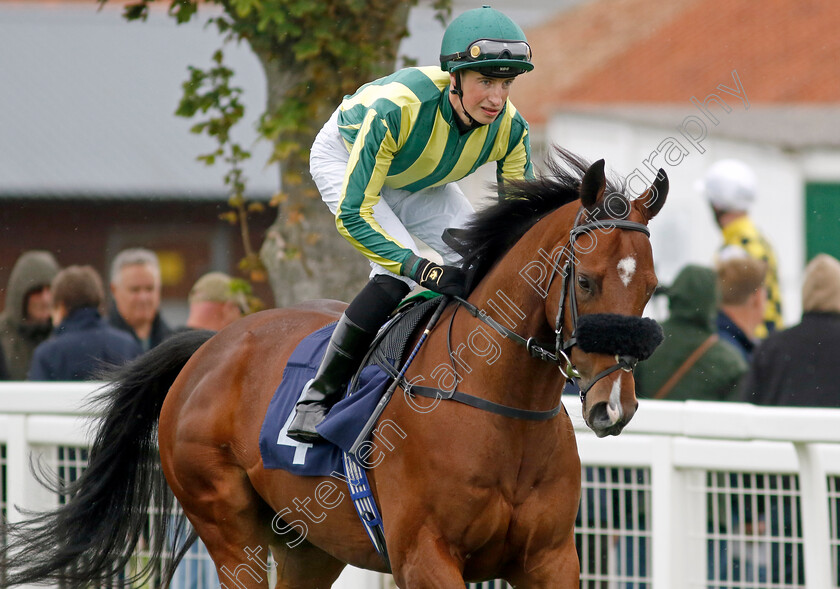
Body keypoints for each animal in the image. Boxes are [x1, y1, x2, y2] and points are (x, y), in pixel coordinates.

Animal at [0, 148, 668, 588]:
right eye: (587, 280)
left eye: (650, 287)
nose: (614, 406)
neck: (498, 409)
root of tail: (210, 347)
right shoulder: (425, 557)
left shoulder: (549, 558)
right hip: (229, 530)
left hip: (309, 542)